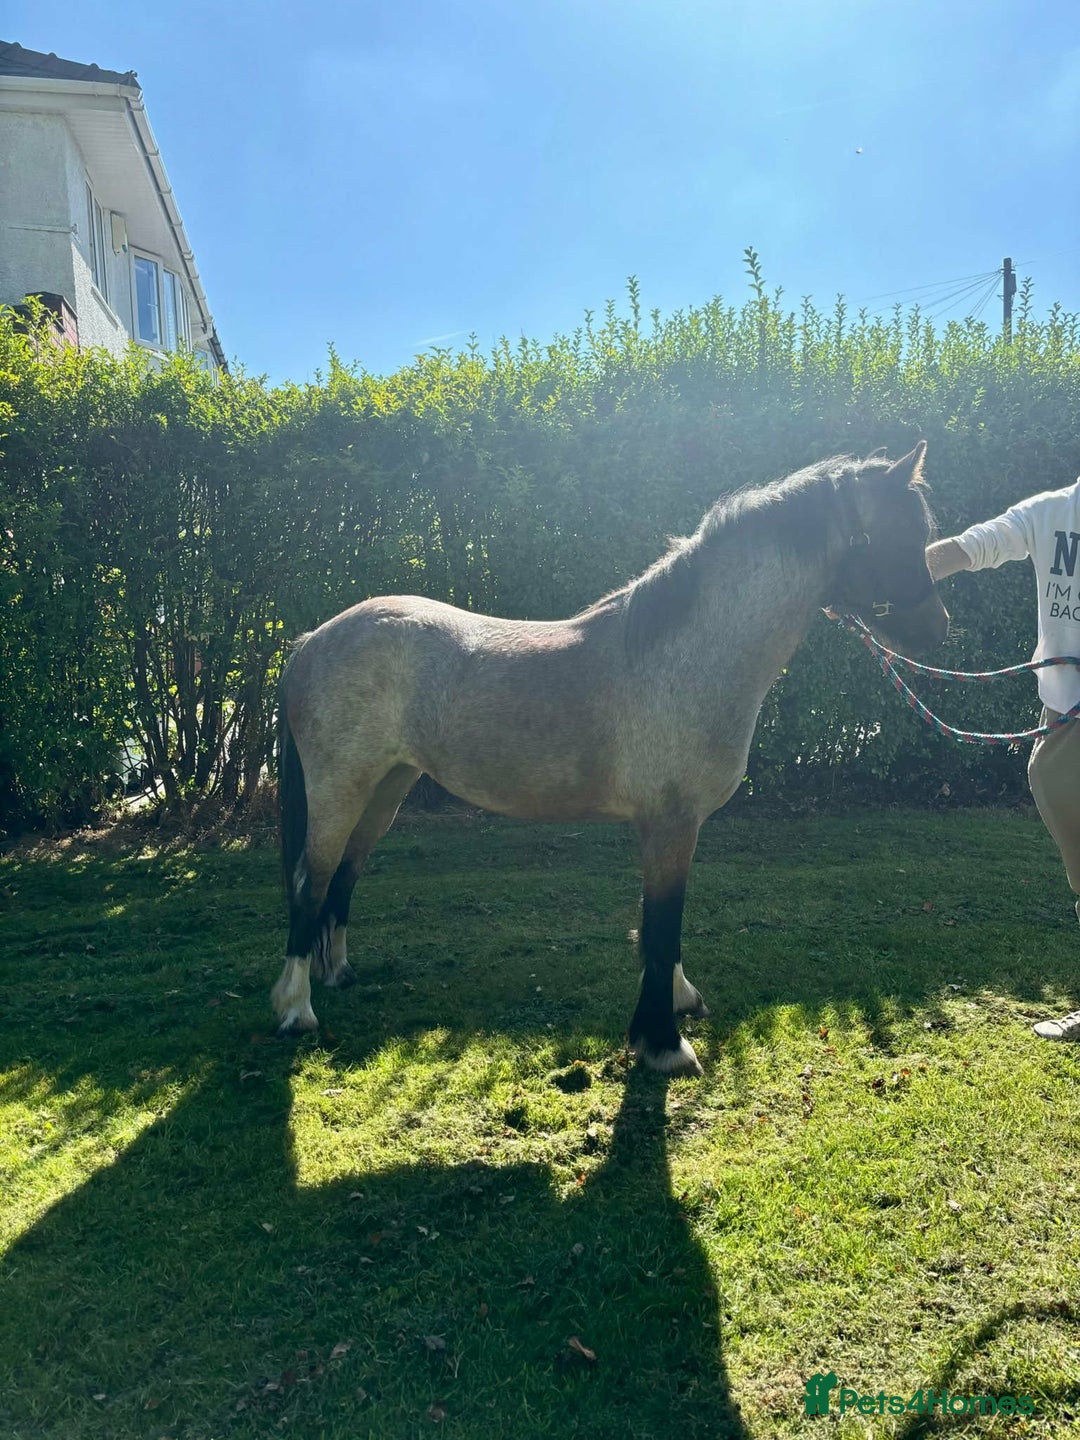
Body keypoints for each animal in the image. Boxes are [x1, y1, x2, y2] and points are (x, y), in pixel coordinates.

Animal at [273, 441, 947, 1076]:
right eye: (901, 536)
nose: (939, 632)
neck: (685, 656)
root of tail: (310, 641)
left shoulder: (670, 827)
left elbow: (657, 930)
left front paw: (677, 1003)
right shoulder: (671, 823)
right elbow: (663, 924)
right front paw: (664, 1045)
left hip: (385, 788)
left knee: (343, 877)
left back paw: (337, 976)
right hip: (341, 790)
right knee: (311, 881)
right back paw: (296, 1010)